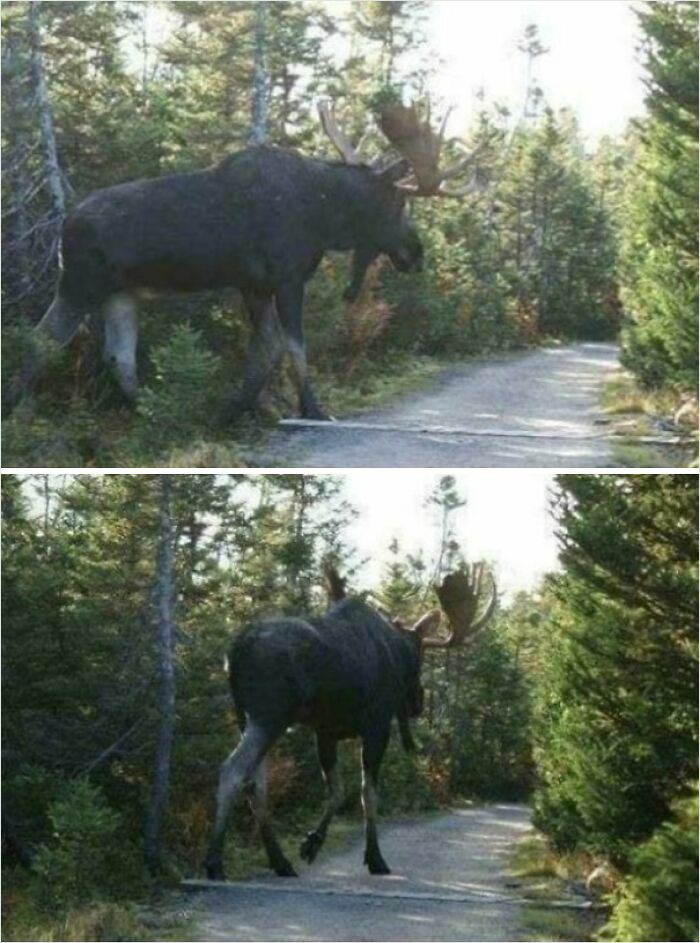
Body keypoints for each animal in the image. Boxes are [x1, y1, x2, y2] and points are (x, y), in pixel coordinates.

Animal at [204, 562, 497, 880]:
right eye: (419, 656)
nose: (418, 703)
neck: (395, 649)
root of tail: (235, 651)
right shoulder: (376, 727)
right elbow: (367, 793)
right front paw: (375, 857)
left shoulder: (326, 731)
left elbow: (338, 791)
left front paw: (312, 843)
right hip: (269, 715)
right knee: (233, 770)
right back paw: (214, 863)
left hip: (245, 718)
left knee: (255, 782)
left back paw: (280, 862)